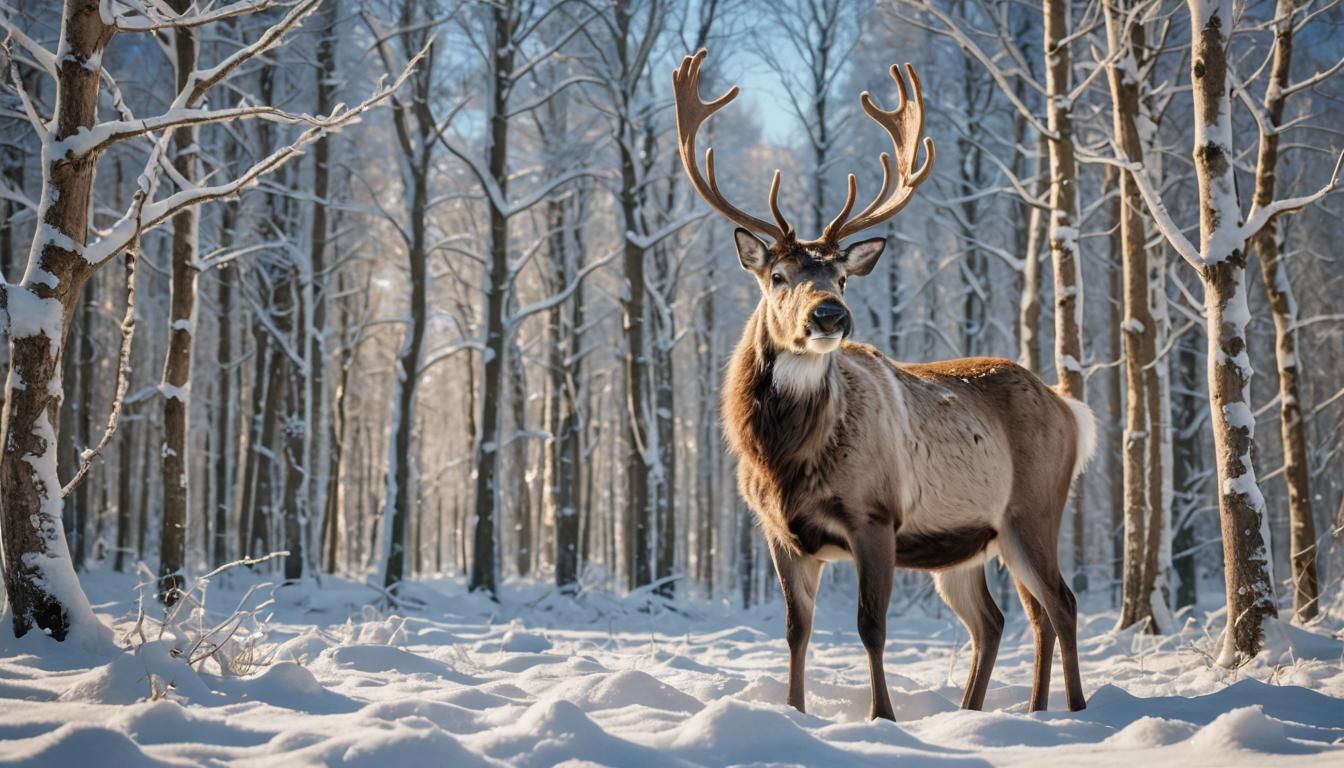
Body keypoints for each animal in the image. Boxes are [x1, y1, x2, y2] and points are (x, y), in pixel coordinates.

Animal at [672, 50, 1097, 719]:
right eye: (778, 274)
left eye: (843, 277)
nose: (830, 315)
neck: (783, 459)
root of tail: (1070, 408)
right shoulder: (778, 531)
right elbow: (796, 630)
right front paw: (794, 712)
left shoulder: (875, 514)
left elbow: (871, 626)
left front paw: (883, 717)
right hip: (973, 541)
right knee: (1002, 619)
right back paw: (989, 711)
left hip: (1034, 508)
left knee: (1062, 603)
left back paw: (1072, 711)